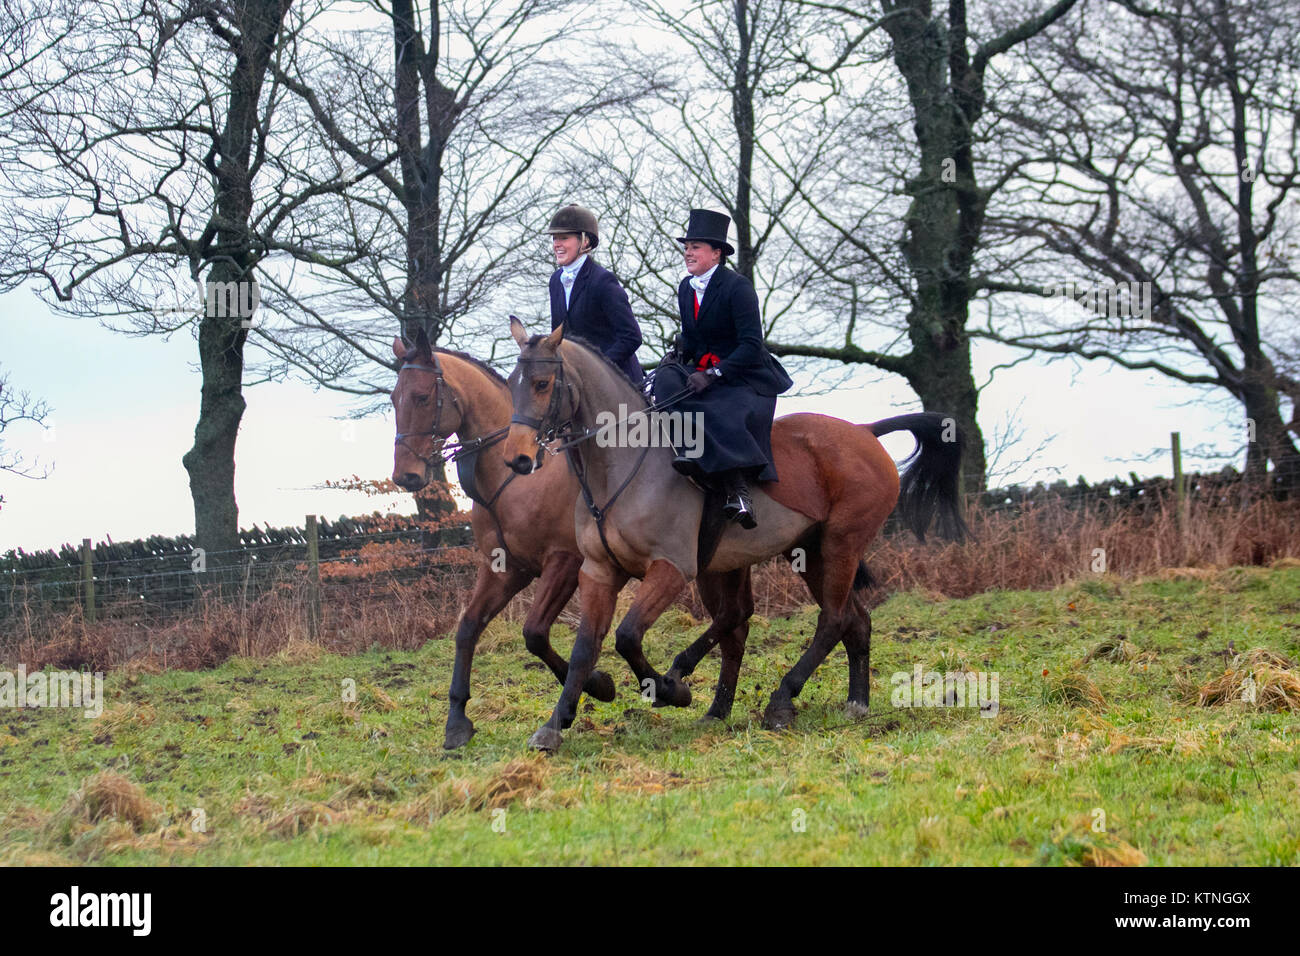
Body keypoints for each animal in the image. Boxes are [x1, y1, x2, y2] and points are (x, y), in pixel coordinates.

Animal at [502, 318, 967, 752]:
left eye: (542, 384)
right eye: (511, 384)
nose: (517, 458)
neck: (621, 466)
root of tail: (864, 431)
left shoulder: (671, 569)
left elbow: (627, 637)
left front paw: (671, 690)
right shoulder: (599, 571)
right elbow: (585, 647)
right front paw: (557, 722)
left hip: (841, 544)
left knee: (831, 619)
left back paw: (780, 700)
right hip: (809, 551)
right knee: (848, 620)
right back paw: (853, 702)